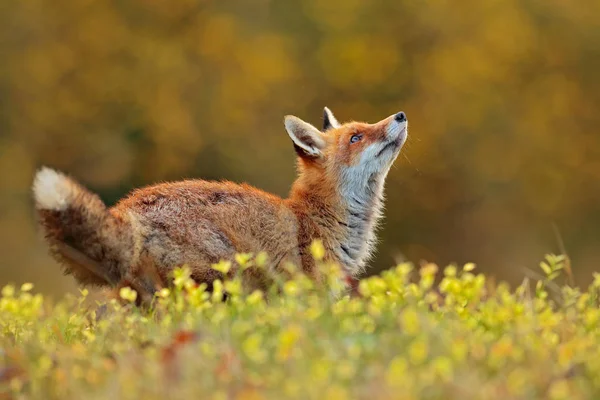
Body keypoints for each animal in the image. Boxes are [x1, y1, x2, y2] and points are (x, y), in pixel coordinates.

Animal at [31, 108, 408, 302]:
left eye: (365, 126)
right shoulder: (307, 292)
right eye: (356, 137)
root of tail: (127, 209)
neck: (318, 217)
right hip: (220, 280)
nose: (400, 115)